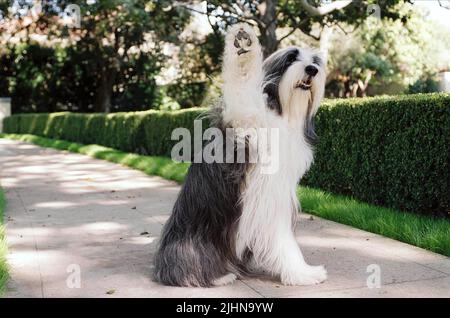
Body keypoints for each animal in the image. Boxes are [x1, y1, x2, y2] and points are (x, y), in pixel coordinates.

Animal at [155, 23, 326, 286]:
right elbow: (243, 84)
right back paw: (217, 276)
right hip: (195, 238)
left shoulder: (276, 197)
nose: (312, 70)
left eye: (316, 61)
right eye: (291, 58)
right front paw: (242, 46)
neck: (280, 111)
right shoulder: (243, 121)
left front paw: (301, 272)